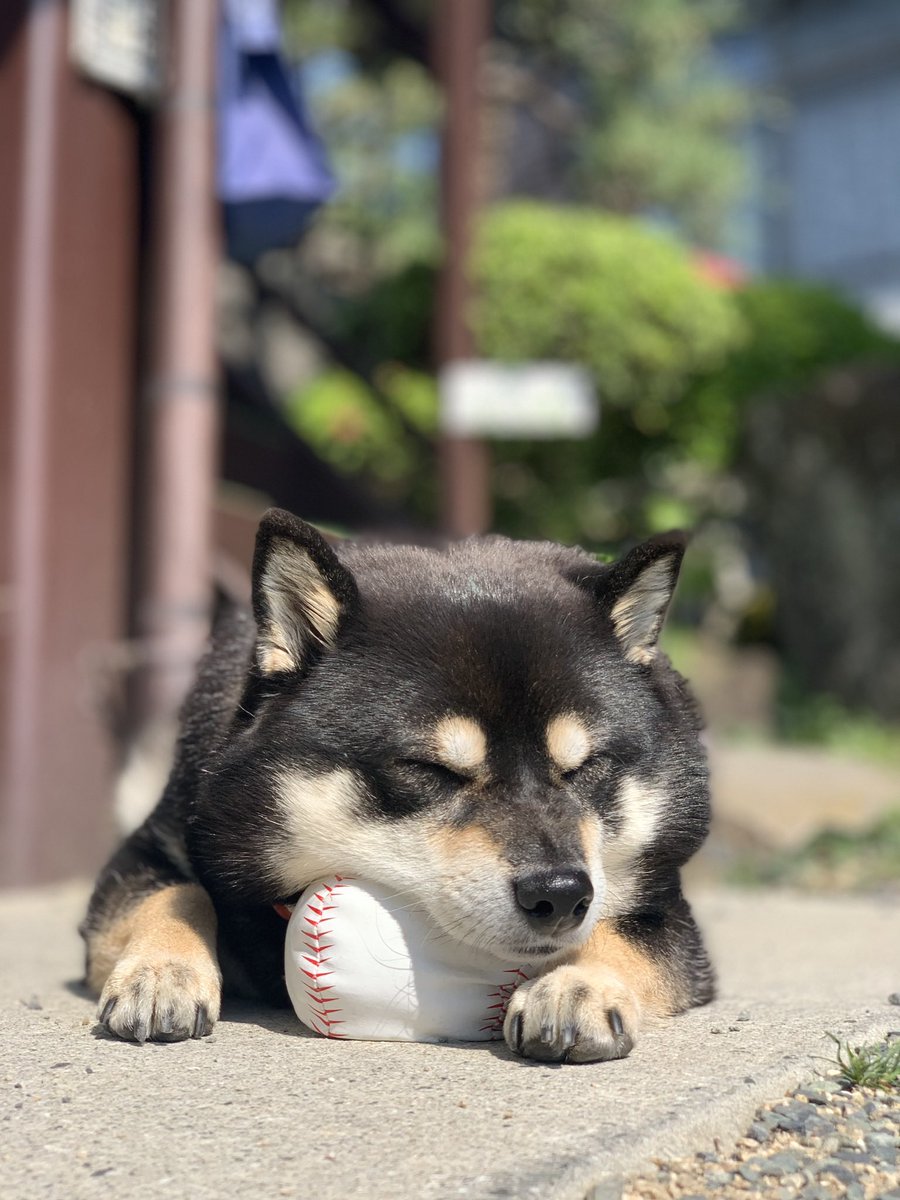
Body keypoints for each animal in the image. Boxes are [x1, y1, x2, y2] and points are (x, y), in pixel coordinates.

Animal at [84, 506, 720, 1060]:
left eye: (584, 767)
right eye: (433, 771)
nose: (561, 894)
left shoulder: (671, 917)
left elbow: (622, 936)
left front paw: (576, 986)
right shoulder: (148, 848)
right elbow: (175, 892)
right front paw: (161, 971)